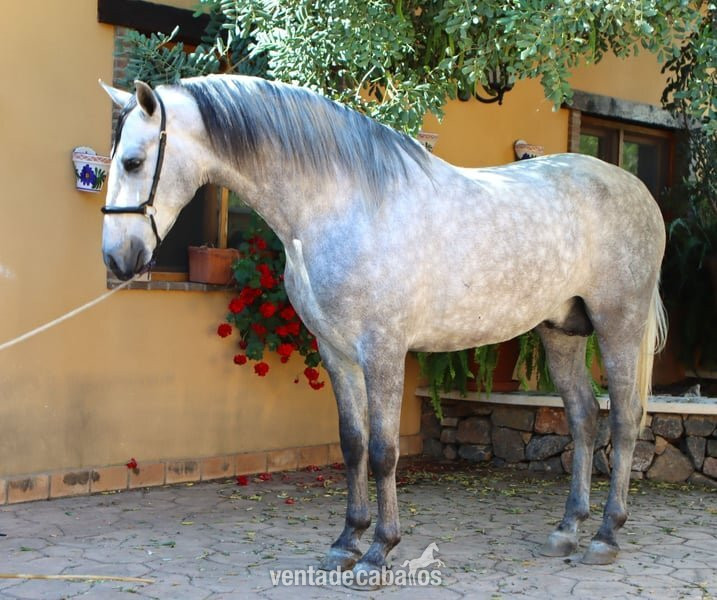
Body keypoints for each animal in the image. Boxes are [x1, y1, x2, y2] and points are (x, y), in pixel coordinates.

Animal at [99, 74, 667, 583]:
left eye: (133, 161)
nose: (117, 259)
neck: (343, 206)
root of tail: (638, 190)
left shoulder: (384, 351)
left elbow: (384, 450)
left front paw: (378, 553)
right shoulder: (336, 352)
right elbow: (353, 445)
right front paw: (346, 543)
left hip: (618, 325)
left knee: (623, 420)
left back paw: (605, 536)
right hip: (561, 331)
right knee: (583, 417)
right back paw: (567, 528)